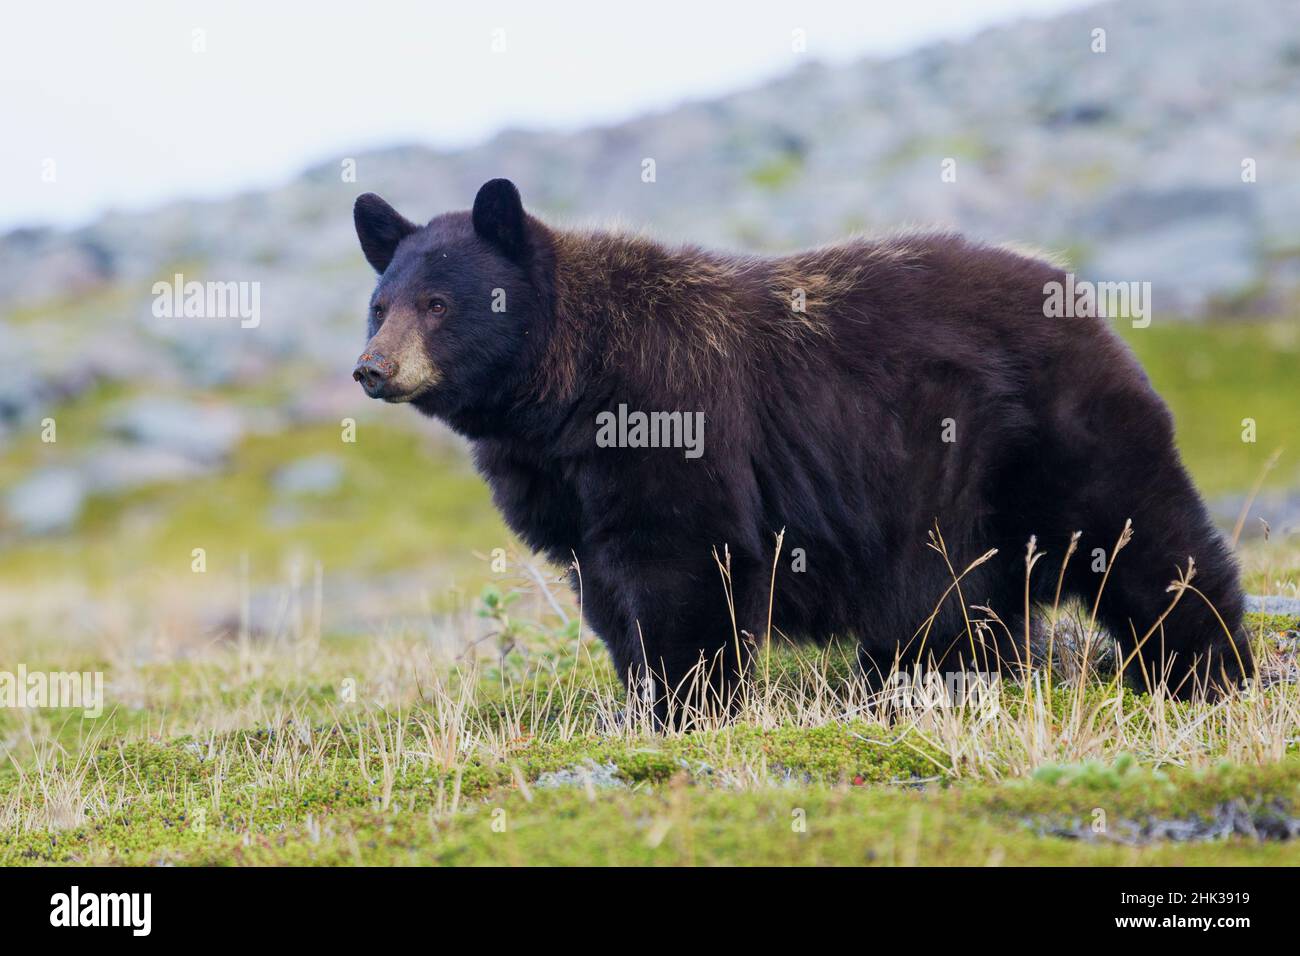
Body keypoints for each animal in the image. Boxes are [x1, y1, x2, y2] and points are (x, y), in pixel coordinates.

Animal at [352, 178, 1254, 721]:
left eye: (439, 302)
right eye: (380, 303)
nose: (372, 368)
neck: (568, 396)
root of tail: (1080, 295)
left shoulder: (673, 417)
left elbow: (688, 562)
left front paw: (690, 704)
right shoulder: (567, 490)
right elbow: (606, 591)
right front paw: (640, 695)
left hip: (1052, 432)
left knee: (1141, 539)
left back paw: (1205, 667)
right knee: (970, 602)